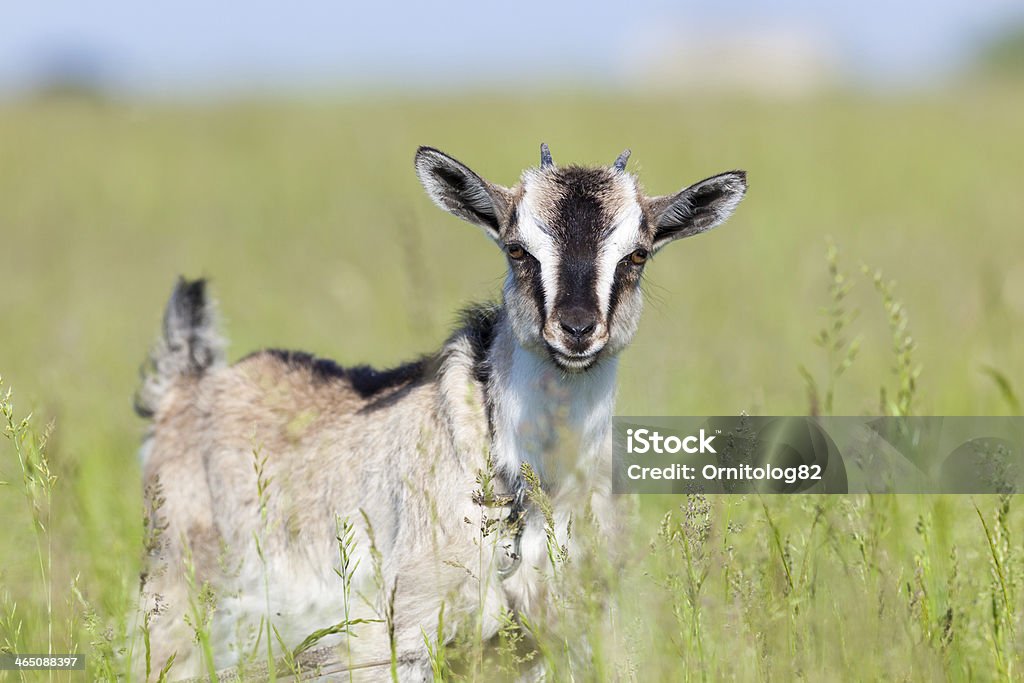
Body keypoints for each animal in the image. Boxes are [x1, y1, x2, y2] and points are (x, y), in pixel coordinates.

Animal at [134, 144, 745, 679]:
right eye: (516, 249)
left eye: (637, 254)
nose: (575, 329)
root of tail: (187, 383)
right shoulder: (404, 635)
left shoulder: (570, 632)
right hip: (174, 604)